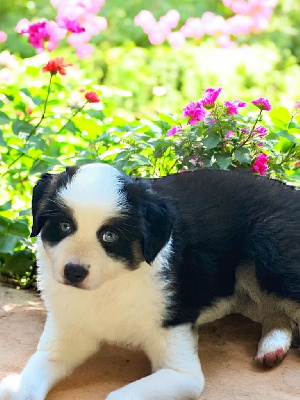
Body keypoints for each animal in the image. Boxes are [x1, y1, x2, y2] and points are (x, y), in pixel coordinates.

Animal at [0, 163, 300, 400]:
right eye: (64, 226)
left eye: (110, 236)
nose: (74, 272)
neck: (111, 286)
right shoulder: (67, 334)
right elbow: (28, 383)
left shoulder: (180, 371)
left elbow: (120, 396)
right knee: (276, 313)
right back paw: (272, 348)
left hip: (268, 255)